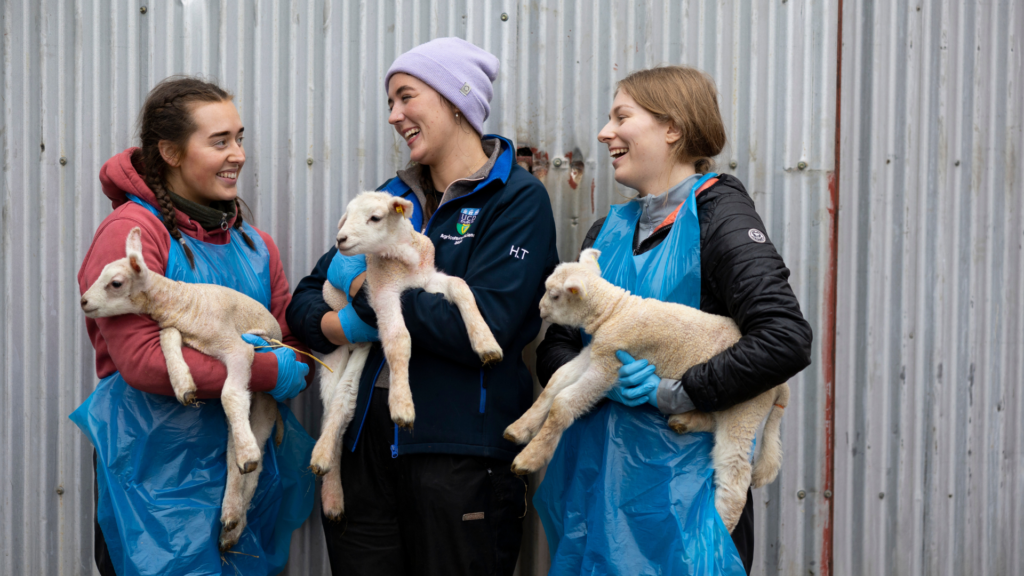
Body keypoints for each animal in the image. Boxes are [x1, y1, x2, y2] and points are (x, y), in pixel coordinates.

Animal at [77, 226, 286, 549]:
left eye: (115, 283)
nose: (84, 301)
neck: (185, 302)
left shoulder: (238, 348)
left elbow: (229, 393)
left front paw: (248, 452)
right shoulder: (180, 331)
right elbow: (167, 337)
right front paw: (182, 384)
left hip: (266, 403)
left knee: (255, 461)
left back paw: (243, 480)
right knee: (230, 455)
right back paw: (230, 518)